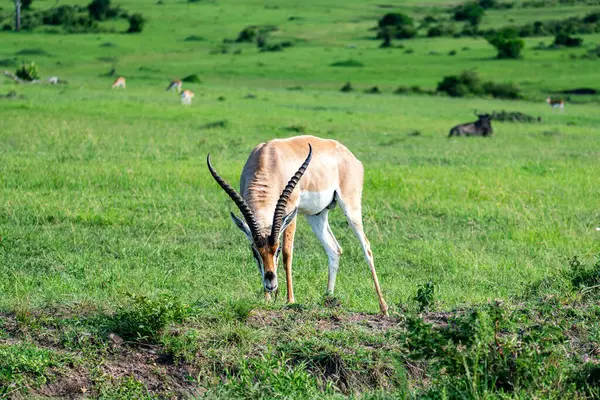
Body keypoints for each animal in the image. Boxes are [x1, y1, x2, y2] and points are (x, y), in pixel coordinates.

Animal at [207, 135, 390, 316]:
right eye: (255, 252)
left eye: (277, 249)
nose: (271, 284)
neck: (268, 159)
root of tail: (349, 155)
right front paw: (267, 300)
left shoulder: (290, 211)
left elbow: (288, 254)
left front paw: (290, 300)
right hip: (316, 215)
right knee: (334, 249)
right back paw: (328, 300)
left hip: (350, 207)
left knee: (366, 247)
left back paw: (383, 308)